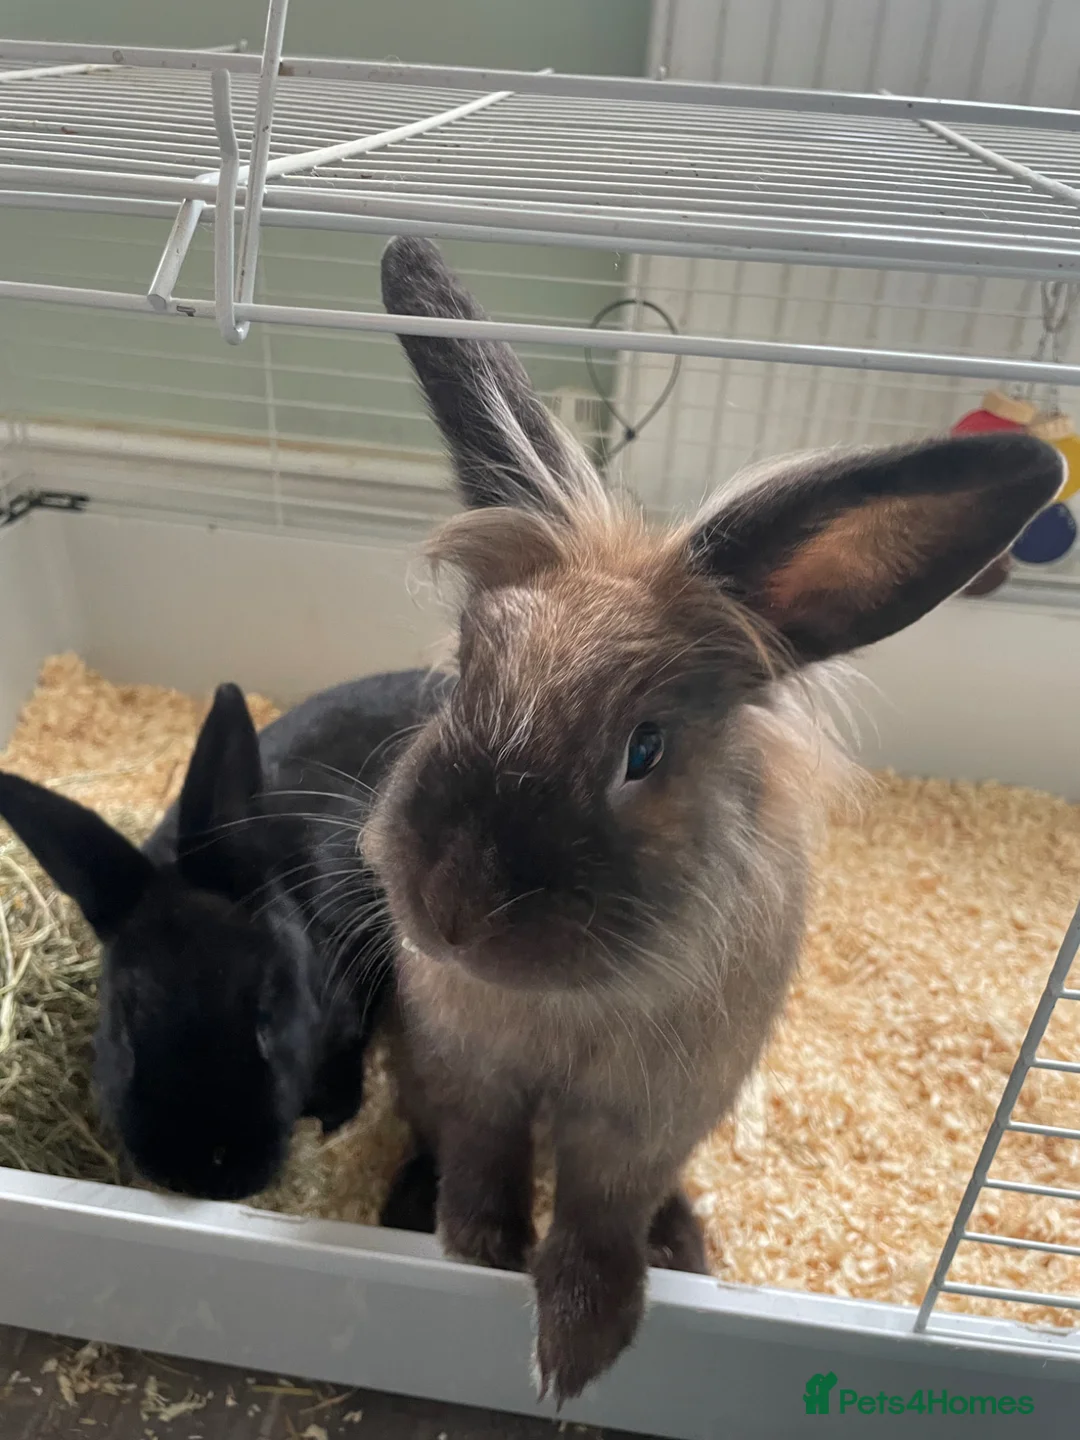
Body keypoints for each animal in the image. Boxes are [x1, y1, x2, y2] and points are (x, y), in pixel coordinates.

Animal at [360, 235, 1066, 1405]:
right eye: (464, 675)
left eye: (644, 750)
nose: (452, 911)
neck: (568, 1012)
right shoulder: (472, 1073)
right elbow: (484, 1158)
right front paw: (477, 1249)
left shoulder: (647, 1119)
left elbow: (603, 1211)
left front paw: (576, 1348)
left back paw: (685, 1247)